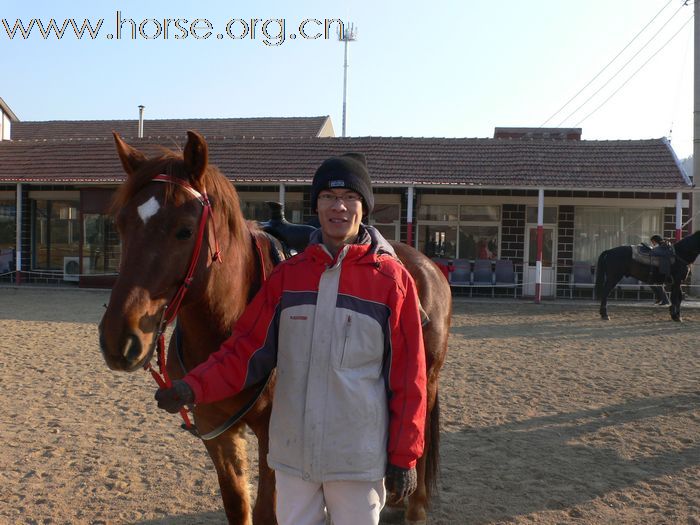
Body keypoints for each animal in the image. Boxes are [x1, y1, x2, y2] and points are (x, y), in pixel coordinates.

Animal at [98, 131, 452, 524]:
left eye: (185, 230)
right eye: (121, 224)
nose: (119, 338)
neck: (227, 326)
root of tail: (427, 265)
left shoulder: (274, 436)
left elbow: (268, 512)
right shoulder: (216, 432)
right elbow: (238, 507)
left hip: (427, 377)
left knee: (418, 433)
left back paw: (414, 506)